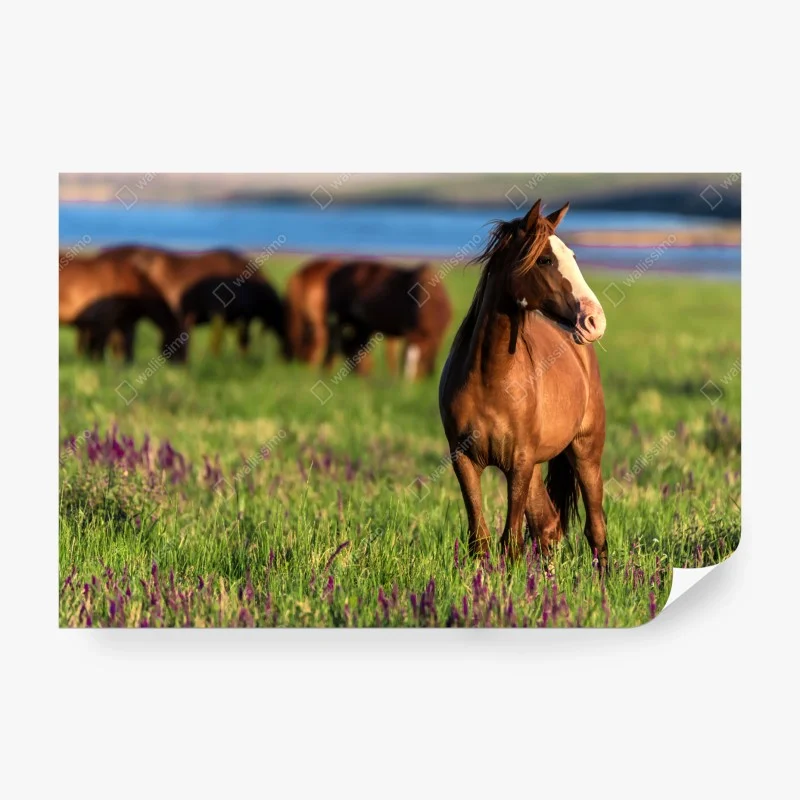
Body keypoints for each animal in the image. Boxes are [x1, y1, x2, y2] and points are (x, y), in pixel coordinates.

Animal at [438, 200, 608, 570]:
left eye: (573, 255)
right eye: (544, 259)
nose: (594, 320)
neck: (491, 378)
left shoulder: (519, 463)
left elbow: (510, 543)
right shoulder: (465, 460)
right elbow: (481, 540)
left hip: (585, 453)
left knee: (595, 530)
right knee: (549, 527)